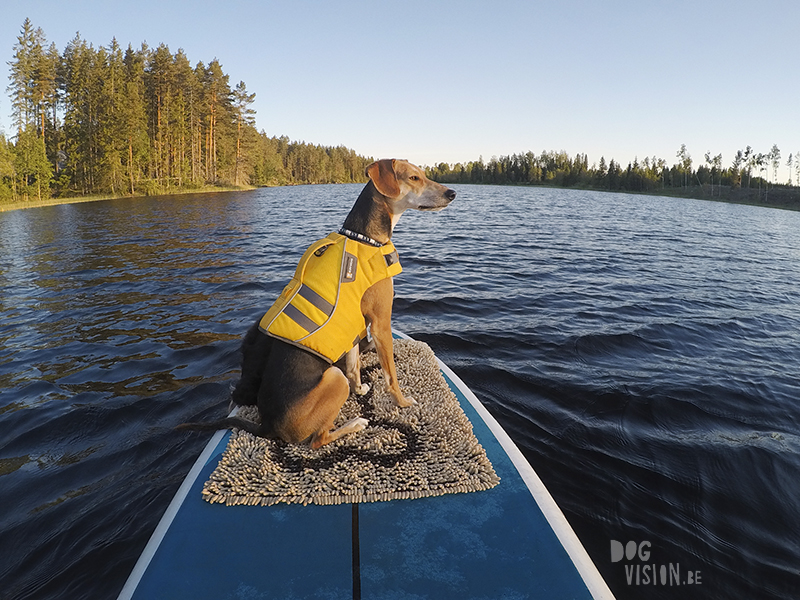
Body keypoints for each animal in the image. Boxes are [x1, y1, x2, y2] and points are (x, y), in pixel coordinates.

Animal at [180, 159, 456, 446]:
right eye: (414, 177)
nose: (452, 193)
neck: (363, 237)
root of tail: (267, 426)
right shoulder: (381, 324)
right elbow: (391, 376)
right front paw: (402, 403)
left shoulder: (354, 330)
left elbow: (355, 367)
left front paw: (361, 389)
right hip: (334, 379)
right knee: (318, 440)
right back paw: (354, 424)